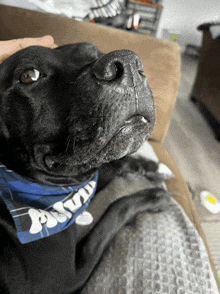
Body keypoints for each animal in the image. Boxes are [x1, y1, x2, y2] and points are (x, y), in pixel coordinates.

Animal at [0, 42, 170, 292]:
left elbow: (112, 166)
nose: (128, 63)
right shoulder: (66, 281)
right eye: (29, 75)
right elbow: (112, 216)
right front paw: (154, 196)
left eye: (95, 53)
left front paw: (150, 167)